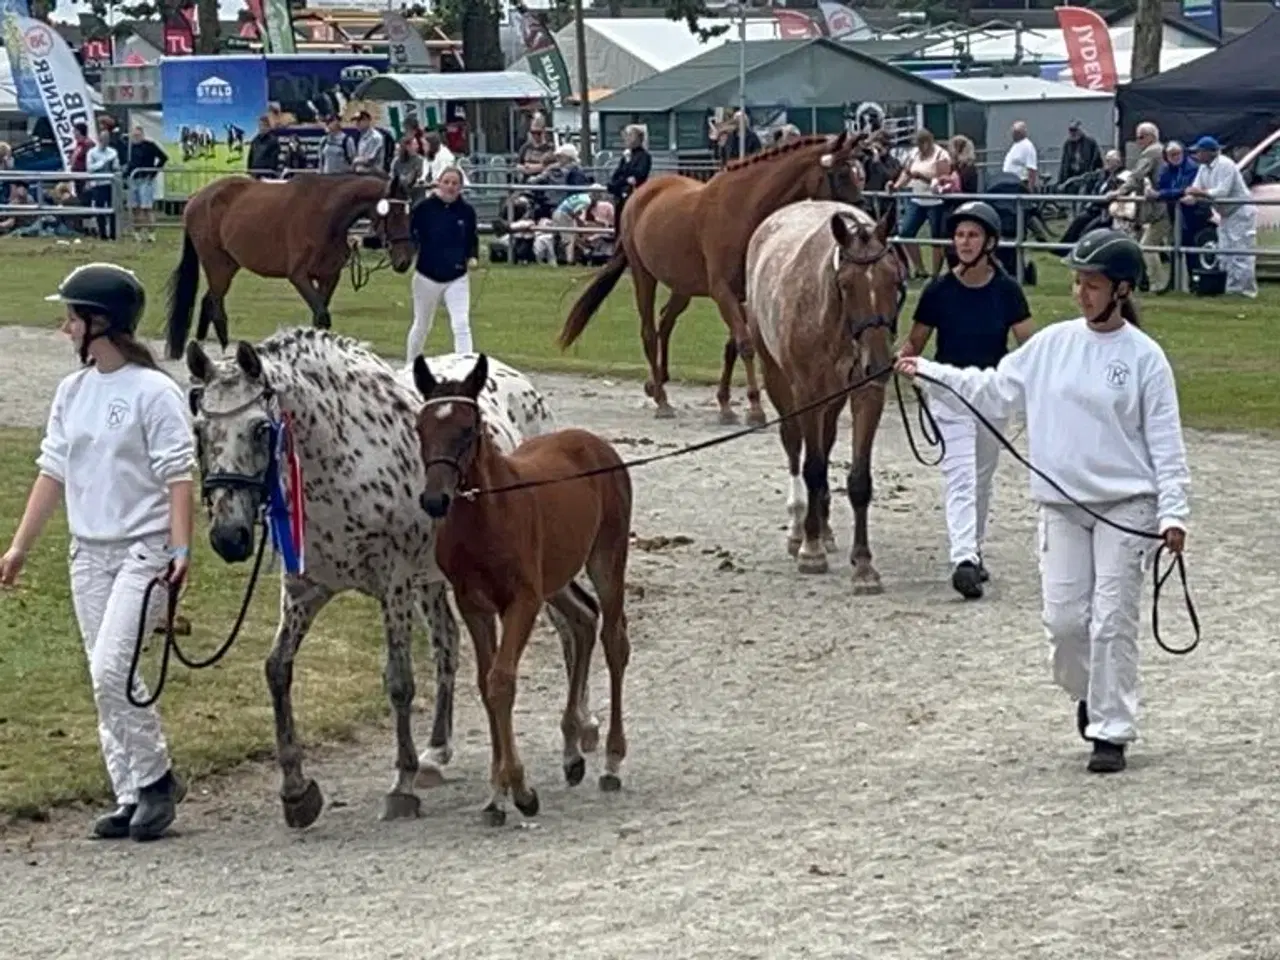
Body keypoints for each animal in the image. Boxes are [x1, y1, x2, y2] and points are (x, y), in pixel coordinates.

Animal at [163, 172, 415, 361]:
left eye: (408, 212)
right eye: (392, 212)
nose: (404, 261)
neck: (326, 215)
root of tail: (197, 197)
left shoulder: (328, 276)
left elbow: (320, 319)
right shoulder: (299, 276)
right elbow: (322, 316)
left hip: (228, 265)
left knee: (208, 301)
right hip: (216, 264)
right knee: (215, 304)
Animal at [183, 328, 600, 828]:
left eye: (260, 429)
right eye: (199, 430)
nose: (229, 537)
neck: (340, 462)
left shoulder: (394, 583)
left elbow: (399, 681)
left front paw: (401, 785)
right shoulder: (305, 590)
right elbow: (277, 670)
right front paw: (296, 791)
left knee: (571, 627)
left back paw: (582, 729)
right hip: (436, 582)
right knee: (448, 644)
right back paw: (437, 752)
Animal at [411, 354, 633, 826]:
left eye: (468, 429)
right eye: (421, 428)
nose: (435, 500)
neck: (488, 516)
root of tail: (593, 442)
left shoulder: (522, 601)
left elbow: (501, 681)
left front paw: (521, 790)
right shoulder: (474, 605)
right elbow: (485, 684)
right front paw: (497, 795)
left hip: (606, 559)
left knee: (613, 641)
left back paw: (611, 761)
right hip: (555, 577)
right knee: (583, 620)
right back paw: (572, 753)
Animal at [557, 132, 870, 425]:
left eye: (859, 172)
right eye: (842, 173)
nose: (863, 222)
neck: (743, 210)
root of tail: (641, 194)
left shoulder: (741, 295)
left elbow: (732, 347)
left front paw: (725, 403)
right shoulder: (722, 293)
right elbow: (745, 344)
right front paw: (754, 409)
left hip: (682, 286)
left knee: (665, 322)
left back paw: (658, 381)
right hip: (643, 275)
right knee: (649, 331)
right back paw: (661, 399)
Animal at [745, 200, 904, 594]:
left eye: (894, 280)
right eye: (846, 285)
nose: (879, 363)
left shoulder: (865, 395)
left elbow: (859, 480)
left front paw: (863, 565)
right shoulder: (806, 393)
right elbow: (813, 468)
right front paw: (810, 549)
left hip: (832, 401)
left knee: (826, 441)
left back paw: (826, 528)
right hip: (779, 380)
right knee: (794, 446)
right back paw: (800, 530)